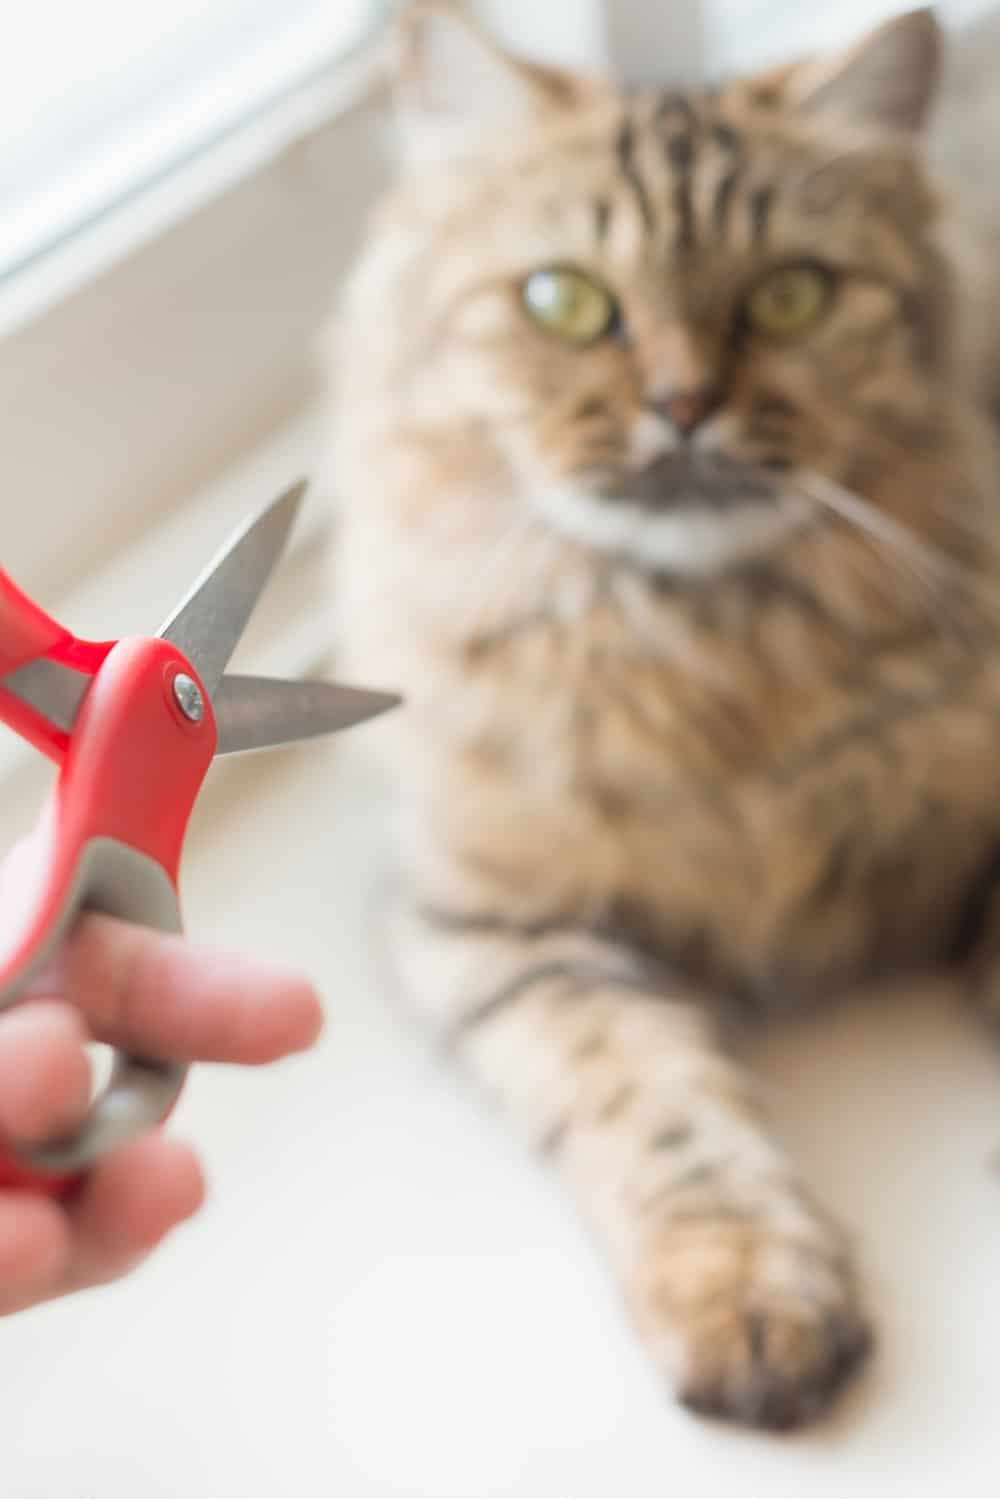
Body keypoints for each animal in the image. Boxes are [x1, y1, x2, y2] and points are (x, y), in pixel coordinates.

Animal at [328, 0, 1000, 1428]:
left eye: (790, 294)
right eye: (564, 302)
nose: (684, 406)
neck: (706, 657)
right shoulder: (497, 924)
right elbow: (658, 1109)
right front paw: (749, 1299)